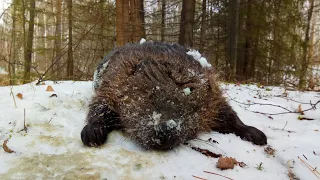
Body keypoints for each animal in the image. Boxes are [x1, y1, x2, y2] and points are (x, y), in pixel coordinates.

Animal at [80, 41, 268, 150]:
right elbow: (100, 105)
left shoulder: (211, 90)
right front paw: (92, 133)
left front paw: (256, 134)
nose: (165, 129)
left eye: (188, 88)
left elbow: (226, 112)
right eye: (146, 94)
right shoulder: (114, 80)